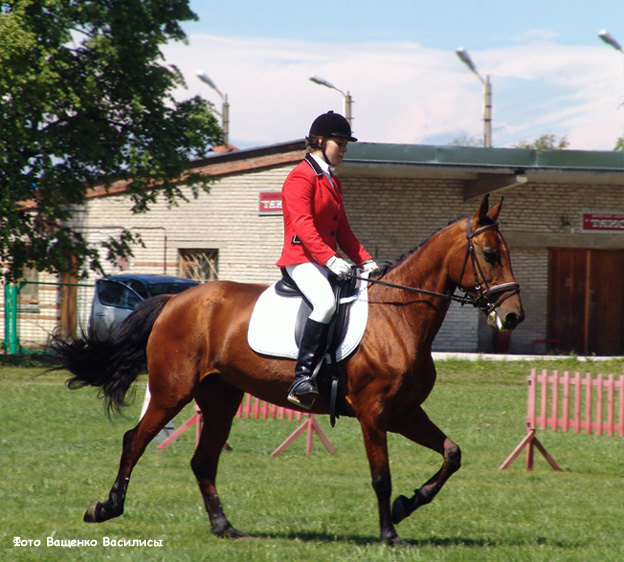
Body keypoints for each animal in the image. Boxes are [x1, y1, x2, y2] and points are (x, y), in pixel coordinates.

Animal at [51, 196, 524, 544]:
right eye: (488, 254)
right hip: (172, 391)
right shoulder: (374, 415)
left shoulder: (404, 413)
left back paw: (225, 527)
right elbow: (381, 476)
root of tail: (175, 300)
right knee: (135, 440)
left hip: (220, 399)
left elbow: (451, 454)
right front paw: (391, 533)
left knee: (203, 461)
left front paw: (408, 504)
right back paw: (106, 508)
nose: (513, 316)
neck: (397, 317)